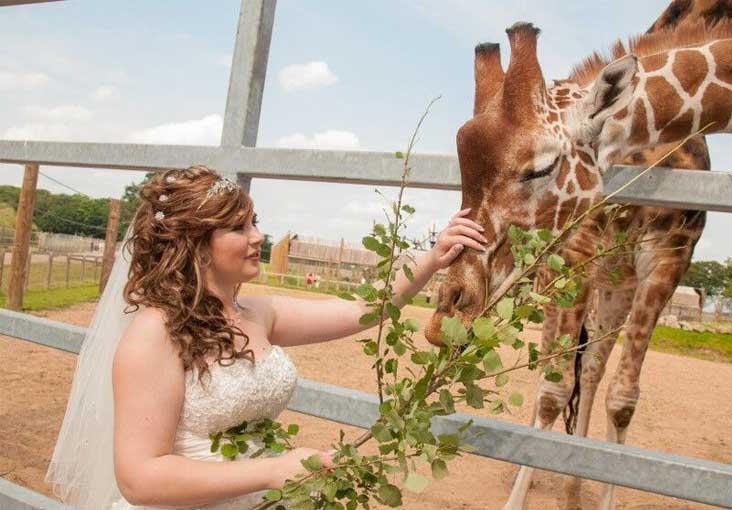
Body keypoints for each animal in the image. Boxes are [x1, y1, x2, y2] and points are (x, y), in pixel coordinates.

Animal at [422, 17, 732, 510]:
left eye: (540, 167)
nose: (448, 316)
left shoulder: (669, 258)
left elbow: (621, 398)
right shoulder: (576, 254)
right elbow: (554, 389)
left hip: (615, 281)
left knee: (590, 373)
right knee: (572, 373)